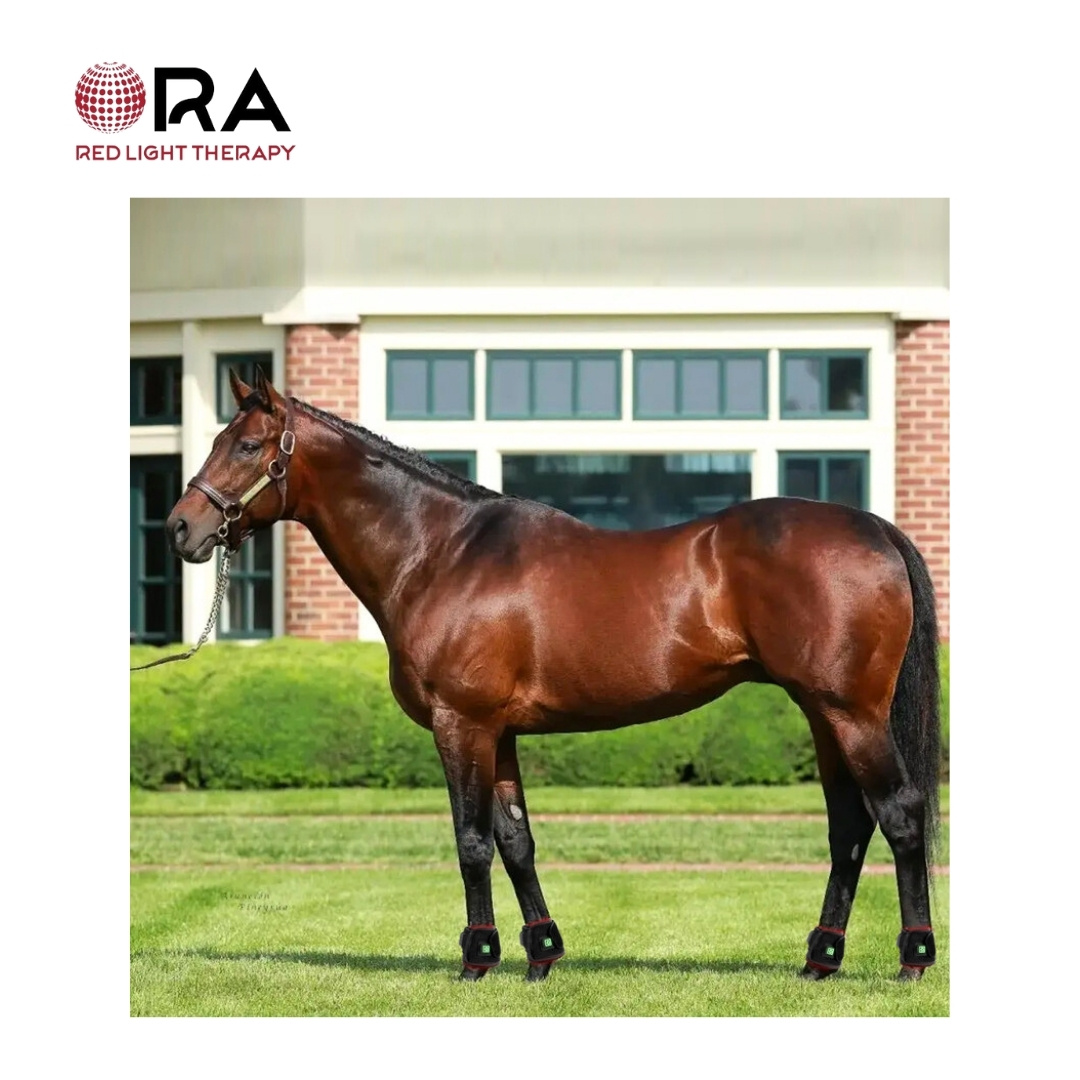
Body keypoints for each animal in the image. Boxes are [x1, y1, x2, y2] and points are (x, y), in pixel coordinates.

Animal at [164, 367, 942, 983]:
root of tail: (875, 528)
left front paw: (477, 959)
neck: (441, 552)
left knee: (899, 814)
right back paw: (819, 960)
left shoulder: (462, 725)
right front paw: (541, 956)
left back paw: (912, 960)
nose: (180, 528)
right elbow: (516, 841)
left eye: (246, 445)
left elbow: (471, 842)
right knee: (849, 826)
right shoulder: (500, 732)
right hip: (823, 714)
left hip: (852, 713)